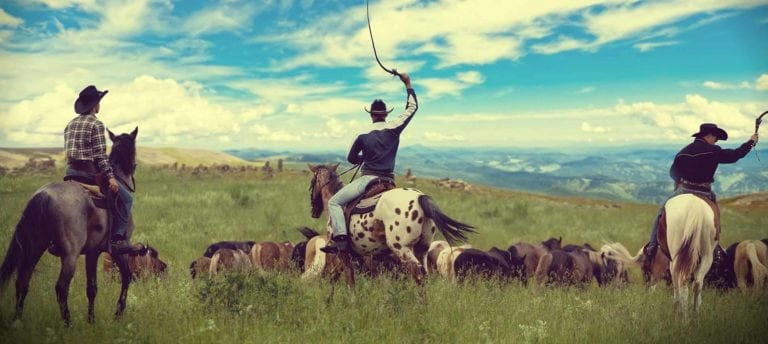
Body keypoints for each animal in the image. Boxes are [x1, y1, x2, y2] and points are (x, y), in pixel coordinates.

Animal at [0, 128, 140, 326]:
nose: (134, 166)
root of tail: (44, 195)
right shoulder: (119, 249)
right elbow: (126, 277)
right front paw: (117, 314)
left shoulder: (92, 253)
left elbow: (92, 288)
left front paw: (91, 320)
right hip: (70, 254)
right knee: (61, 287)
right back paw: (67, 323)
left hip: (34, 247)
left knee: (22, 282)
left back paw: (17, 320)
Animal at [308, 163, 474, 296]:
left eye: (312, 183)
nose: (313, 210)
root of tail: (420, 198)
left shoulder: (341, 254)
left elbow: (343, 279)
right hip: (421, 249)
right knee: (424, 275)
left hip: (402, 248)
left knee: (417, 274)